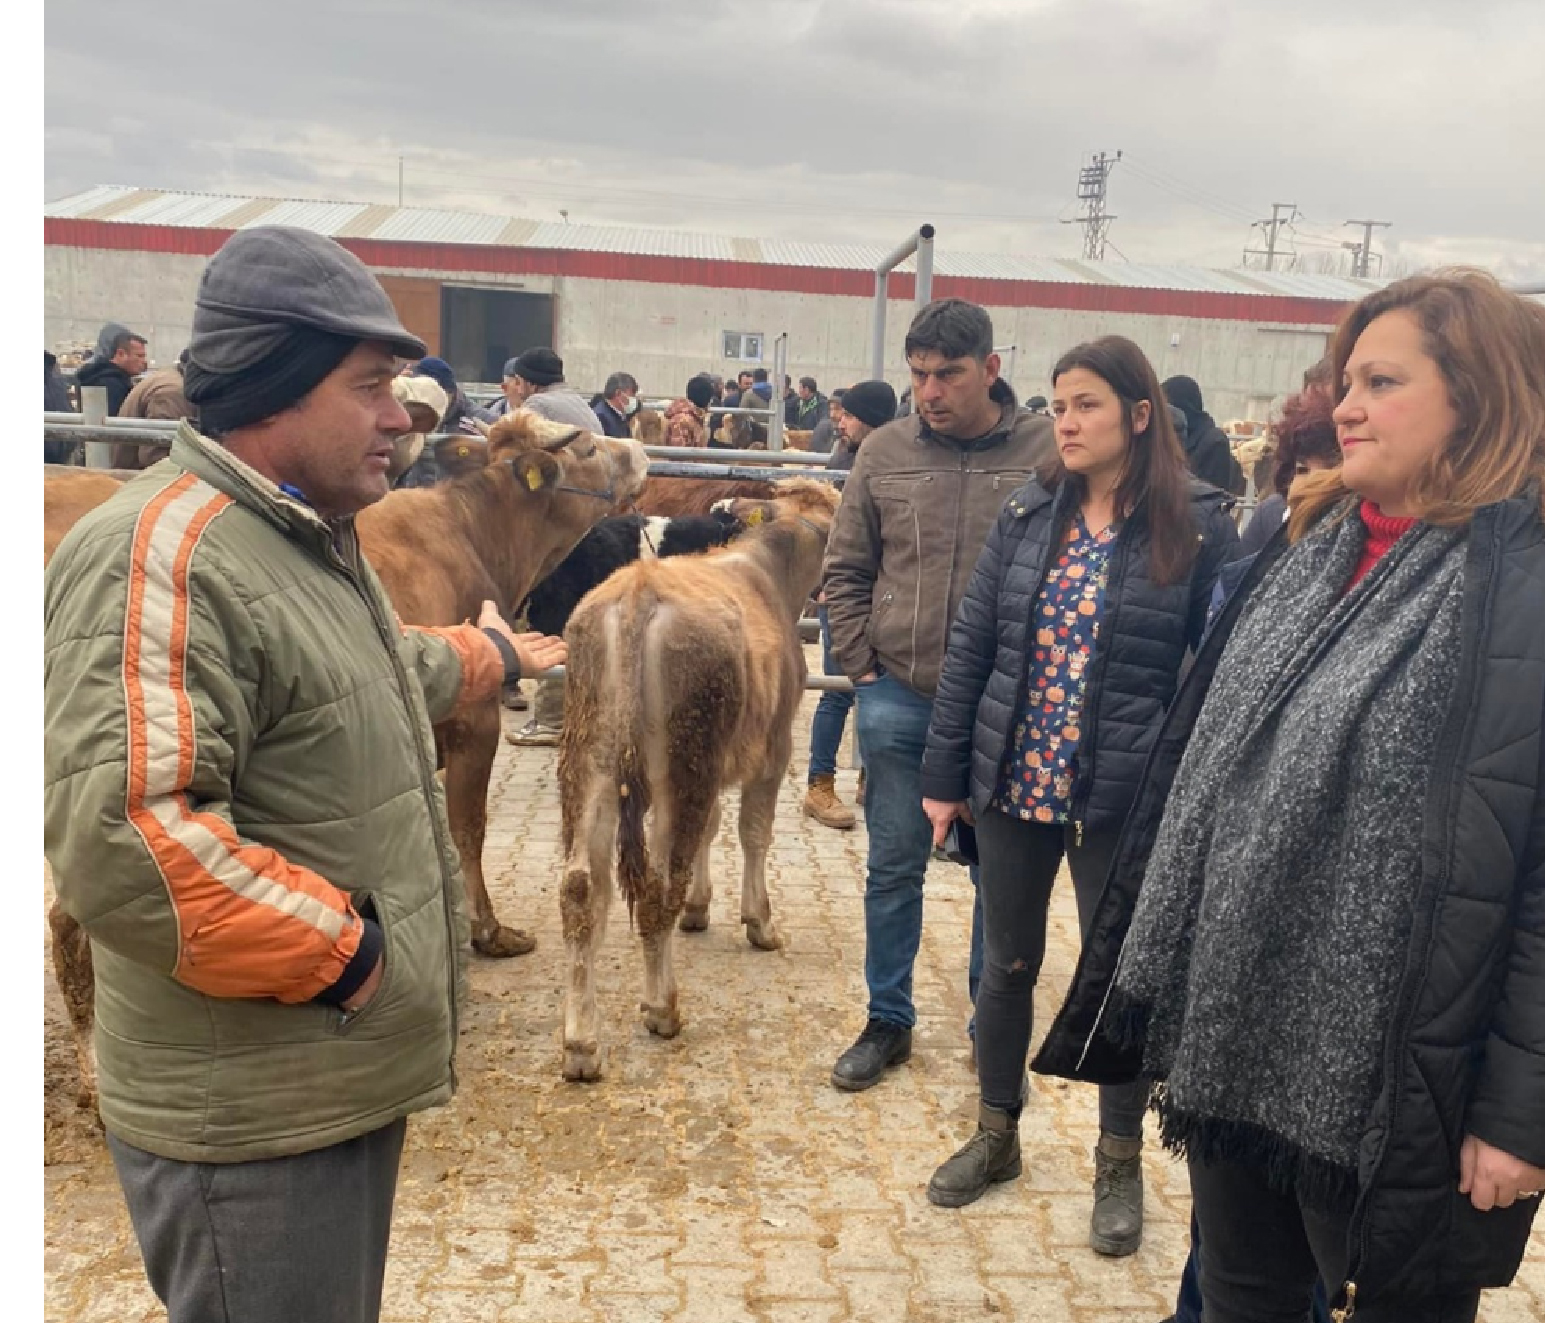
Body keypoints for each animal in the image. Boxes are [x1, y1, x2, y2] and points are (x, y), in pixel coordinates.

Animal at [556, 479, 840, 1081]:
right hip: (682, 766)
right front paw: (759, 922)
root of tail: (638, 593)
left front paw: (700, 908)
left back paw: (582, 1043)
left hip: (590, 762)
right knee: (660, 882)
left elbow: (712, 829)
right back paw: (661, 1008)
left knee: (581, 889)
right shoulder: (772, 751)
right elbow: (753, 833)